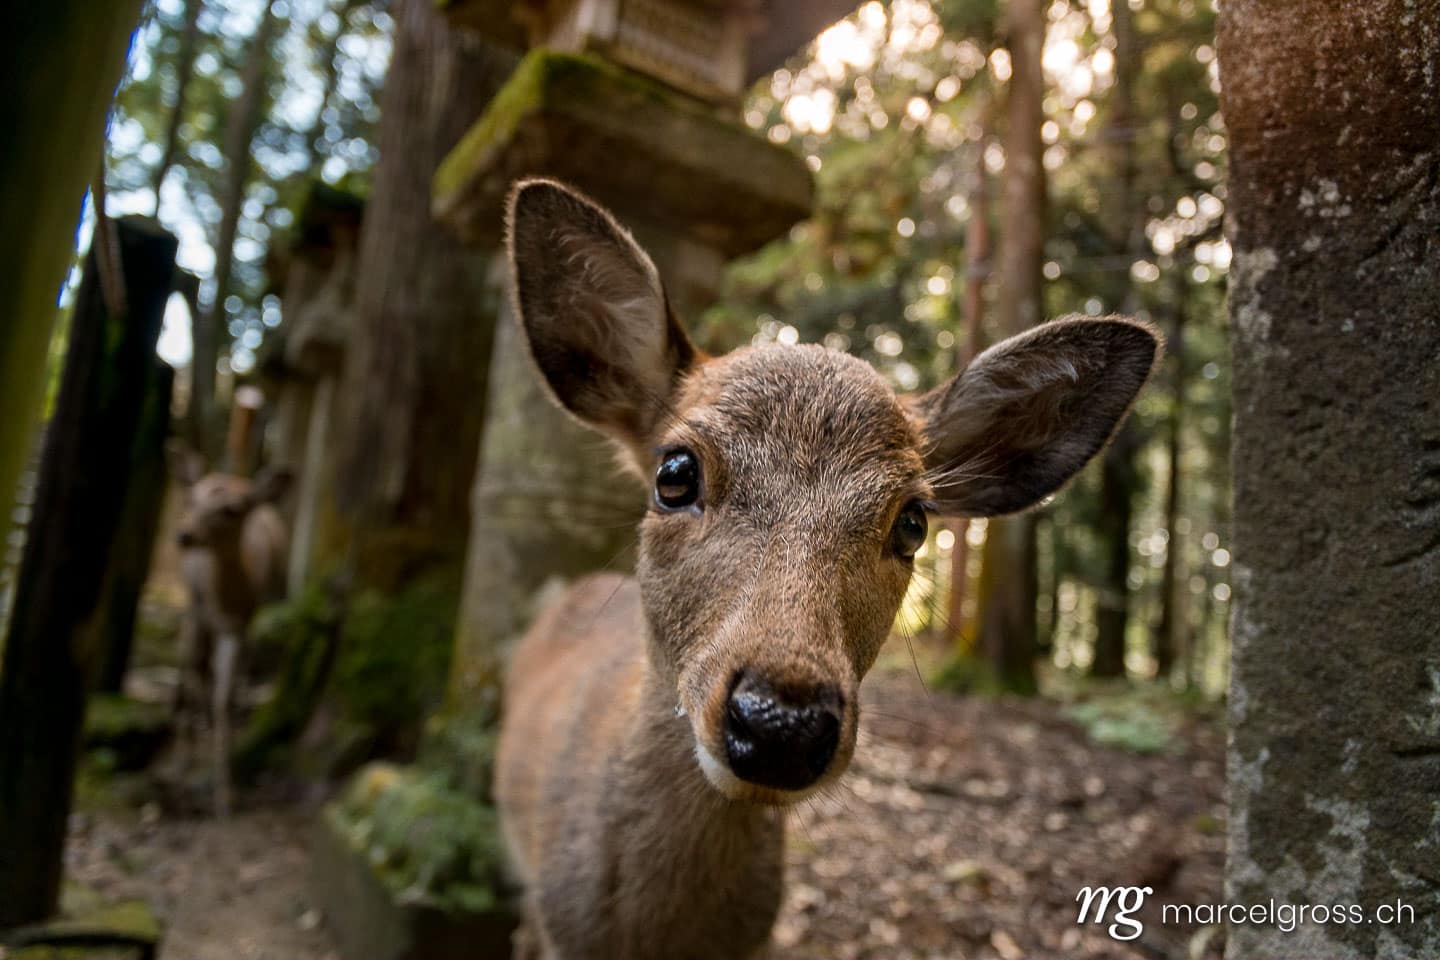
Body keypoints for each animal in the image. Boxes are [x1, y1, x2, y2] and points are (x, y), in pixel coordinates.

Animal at [172, 457, 291, 817]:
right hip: (191, 611)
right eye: (191, 499)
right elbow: (196, 676)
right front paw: (183, 776)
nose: (184, 535)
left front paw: (226, 796)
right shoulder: (197, 614)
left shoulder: (239, 625)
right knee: (191, 669)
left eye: (232, 510)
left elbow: (223, 698)